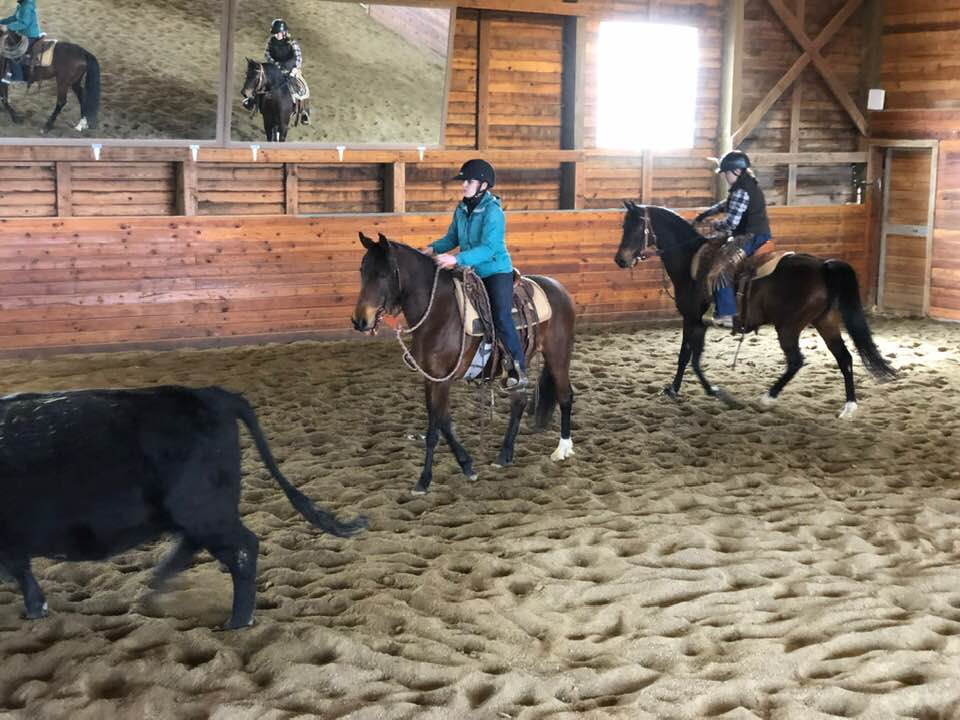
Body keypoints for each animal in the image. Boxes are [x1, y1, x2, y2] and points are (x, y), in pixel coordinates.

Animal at [0, 386, 368, 628]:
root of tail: (210, 394)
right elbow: (21, 569)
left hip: (203, 508)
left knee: (242, 548)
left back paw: (236, 621)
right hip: (198, 511)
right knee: (199, 545)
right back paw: (159, 581)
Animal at [352, 231, 576, 496]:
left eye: (384, 274)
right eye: (362, 270)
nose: (360, 321)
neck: (439, 312)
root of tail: (559, 288)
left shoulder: (443, 379)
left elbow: (434, 430)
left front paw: (423, 481)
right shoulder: (430, 377)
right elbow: (444, 422)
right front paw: (467, 465)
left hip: (558, 355)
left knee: (565, 396)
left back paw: (562, 449)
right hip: (519, 366)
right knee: (519, 401)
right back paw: (504, 455)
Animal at [612, 201, 896, 416]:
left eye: (635, 227)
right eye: (623, 226)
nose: (620, 260)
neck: (691, 260)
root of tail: (823, 267)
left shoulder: (692, 319)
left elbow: (690, 359)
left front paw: (716, 392)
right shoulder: (696, 322)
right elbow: (687, 357)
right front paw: (674, 389)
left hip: (788, 327)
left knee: (796, 361)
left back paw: (768, 397)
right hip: (825, 322)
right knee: (844, 357)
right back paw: (849, 407)